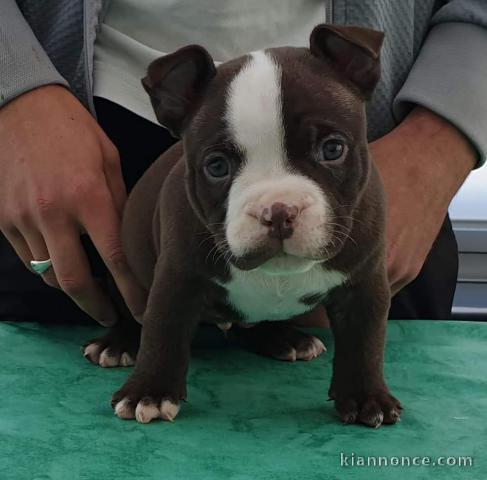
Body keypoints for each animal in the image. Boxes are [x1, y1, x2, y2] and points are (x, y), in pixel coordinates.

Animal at [84, 22, 402, 428]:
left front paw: (366, 397)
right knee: (132, 310)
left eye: (333, 149)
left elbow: (365, 340)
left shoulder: (364, 282)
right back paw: (118, 342)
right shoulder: (177, 276)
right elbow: (162, 328)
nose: (278, 210)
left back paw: (285, 338)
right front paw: (149, 392)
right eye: (217, 166)